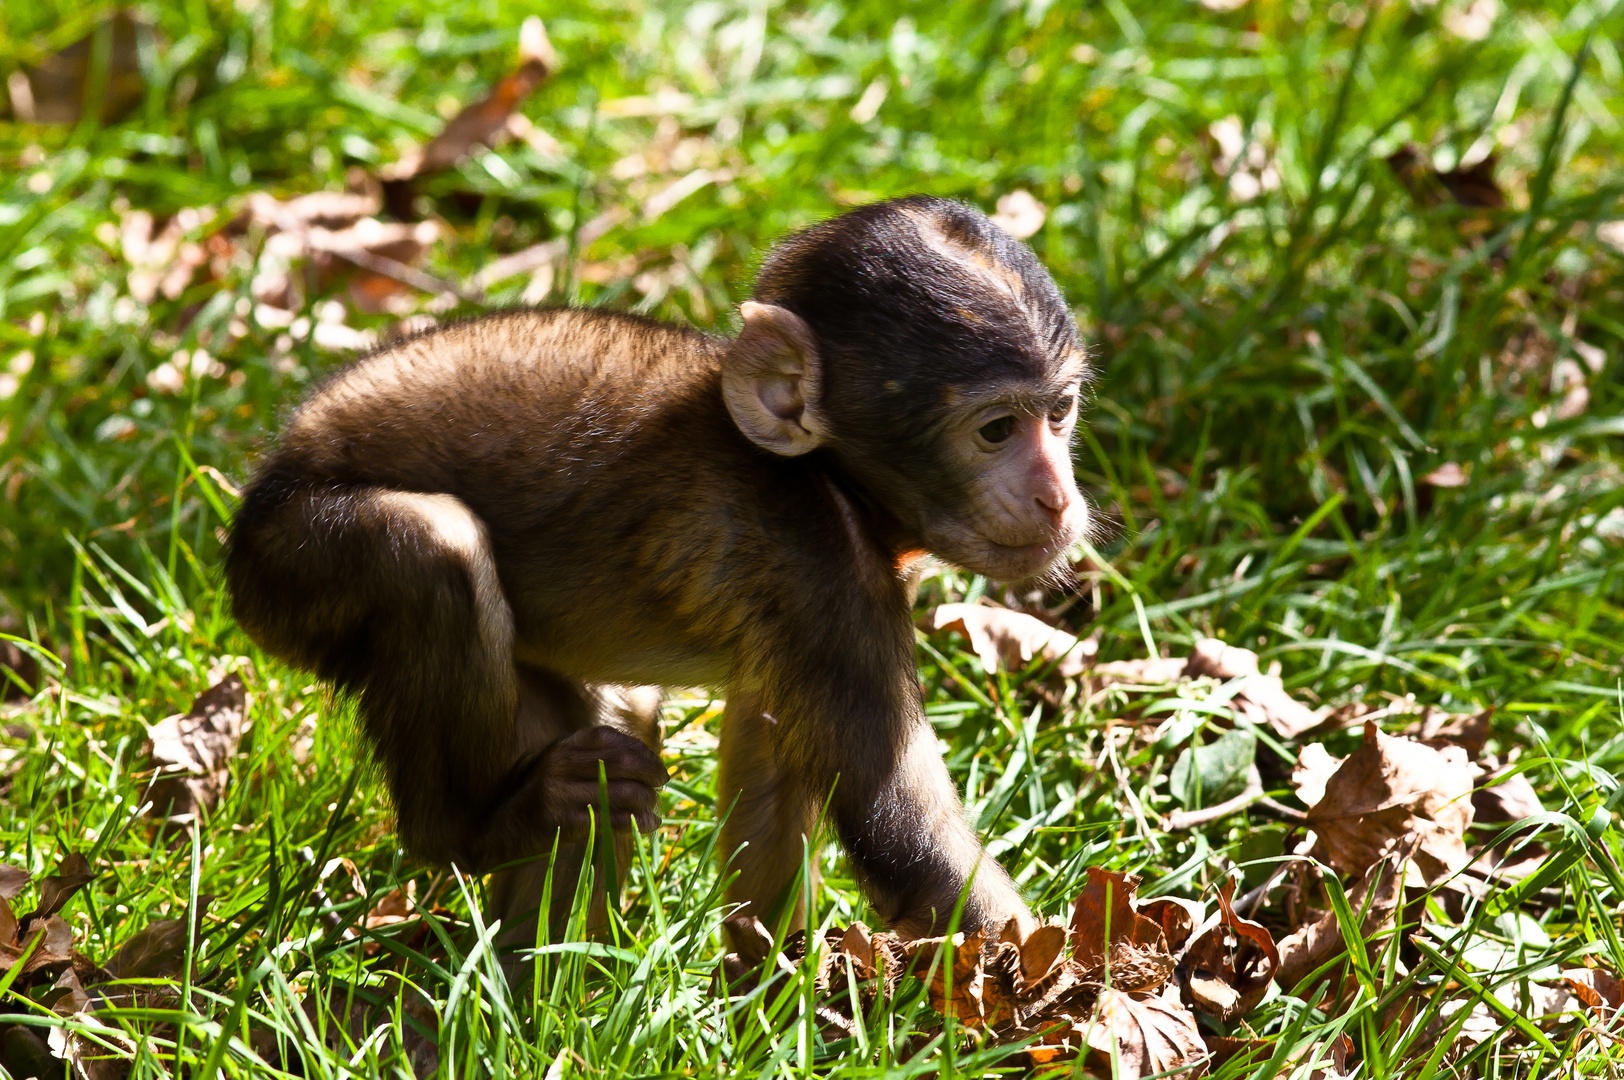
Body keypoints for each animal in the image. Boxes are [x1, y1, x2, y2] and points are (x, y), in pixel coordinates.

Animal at [225, 194, 1091, 941]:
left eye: (1060, 413)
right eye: (995, 430)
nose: (1056, 496)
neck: (824, 475)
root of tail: (268, 481)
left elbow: (773, 751)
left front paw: (768, 997)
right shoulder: (823, 567)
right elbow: (909, 838)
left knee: (617, 730)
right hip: (291, 567)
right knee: (432, 546)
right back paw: (469, 830)